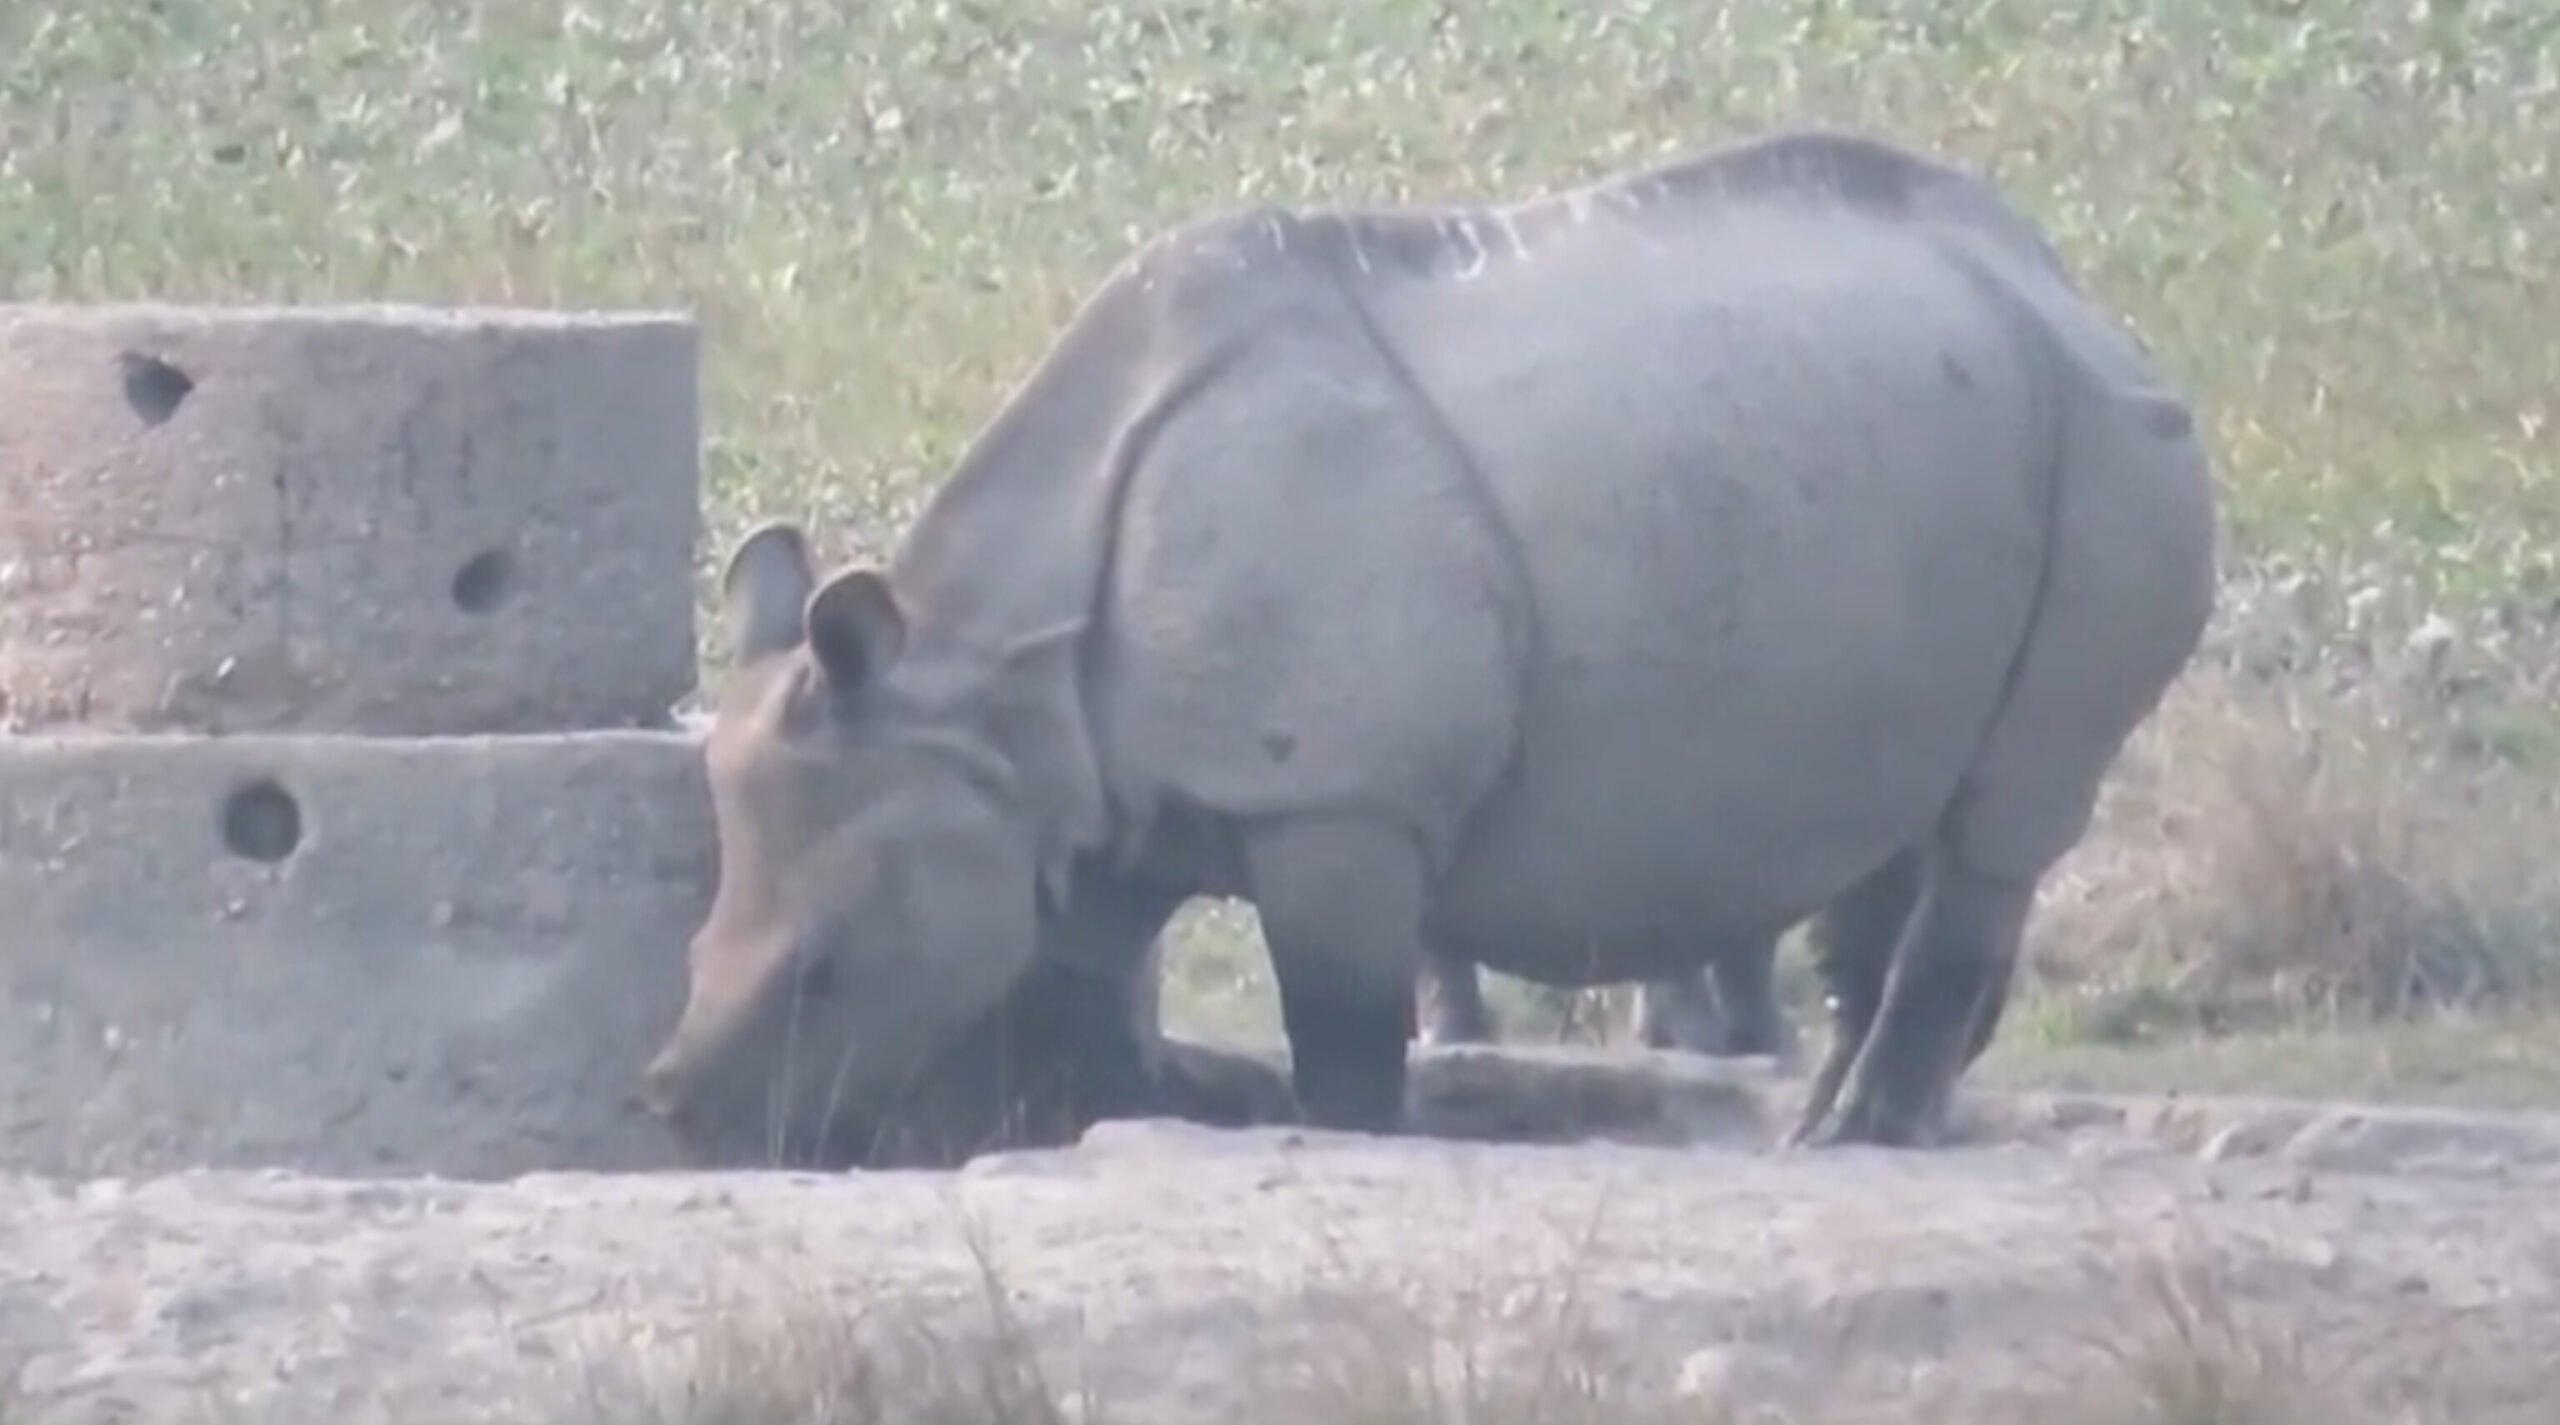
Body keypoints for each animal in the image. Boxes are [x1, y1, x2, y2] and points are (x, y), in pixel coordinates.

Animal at [645, 127, 2222, 1151]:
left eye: (822, 973)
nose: (688, 1115)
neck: (985, 688)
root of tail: (2070, 291)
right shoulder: (1080, 814)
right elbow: (1081, 1009)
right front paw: (1103, 1120)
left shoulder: (1338, 799)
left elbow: (1342, 1032)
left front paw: (1336, 1131)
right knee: (1901, 819)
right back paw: (1836, 1123)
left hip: (2117, 453)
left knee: (1997, 816)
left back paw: (1860, 1140)